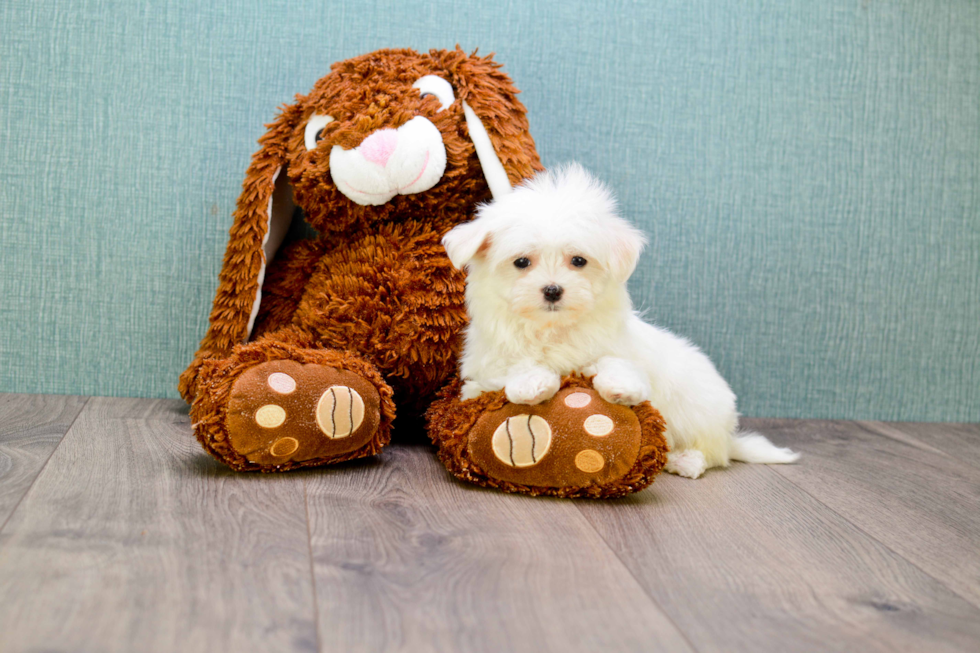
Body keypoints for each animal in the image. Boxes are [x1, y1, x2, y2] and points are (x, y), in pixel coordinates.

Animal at [444, 164, 796, 478]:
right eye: (521, 262)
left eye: (578, 261)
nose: (553, 290)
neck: (554, 330)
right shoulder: (483, 368)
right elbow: (510, 368)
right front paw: (532, 382)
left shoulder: (619, 347)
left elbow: (615, 361)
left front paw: (621, 386)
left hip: (699, 408)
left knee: (711, 453)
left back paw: (686, 460)